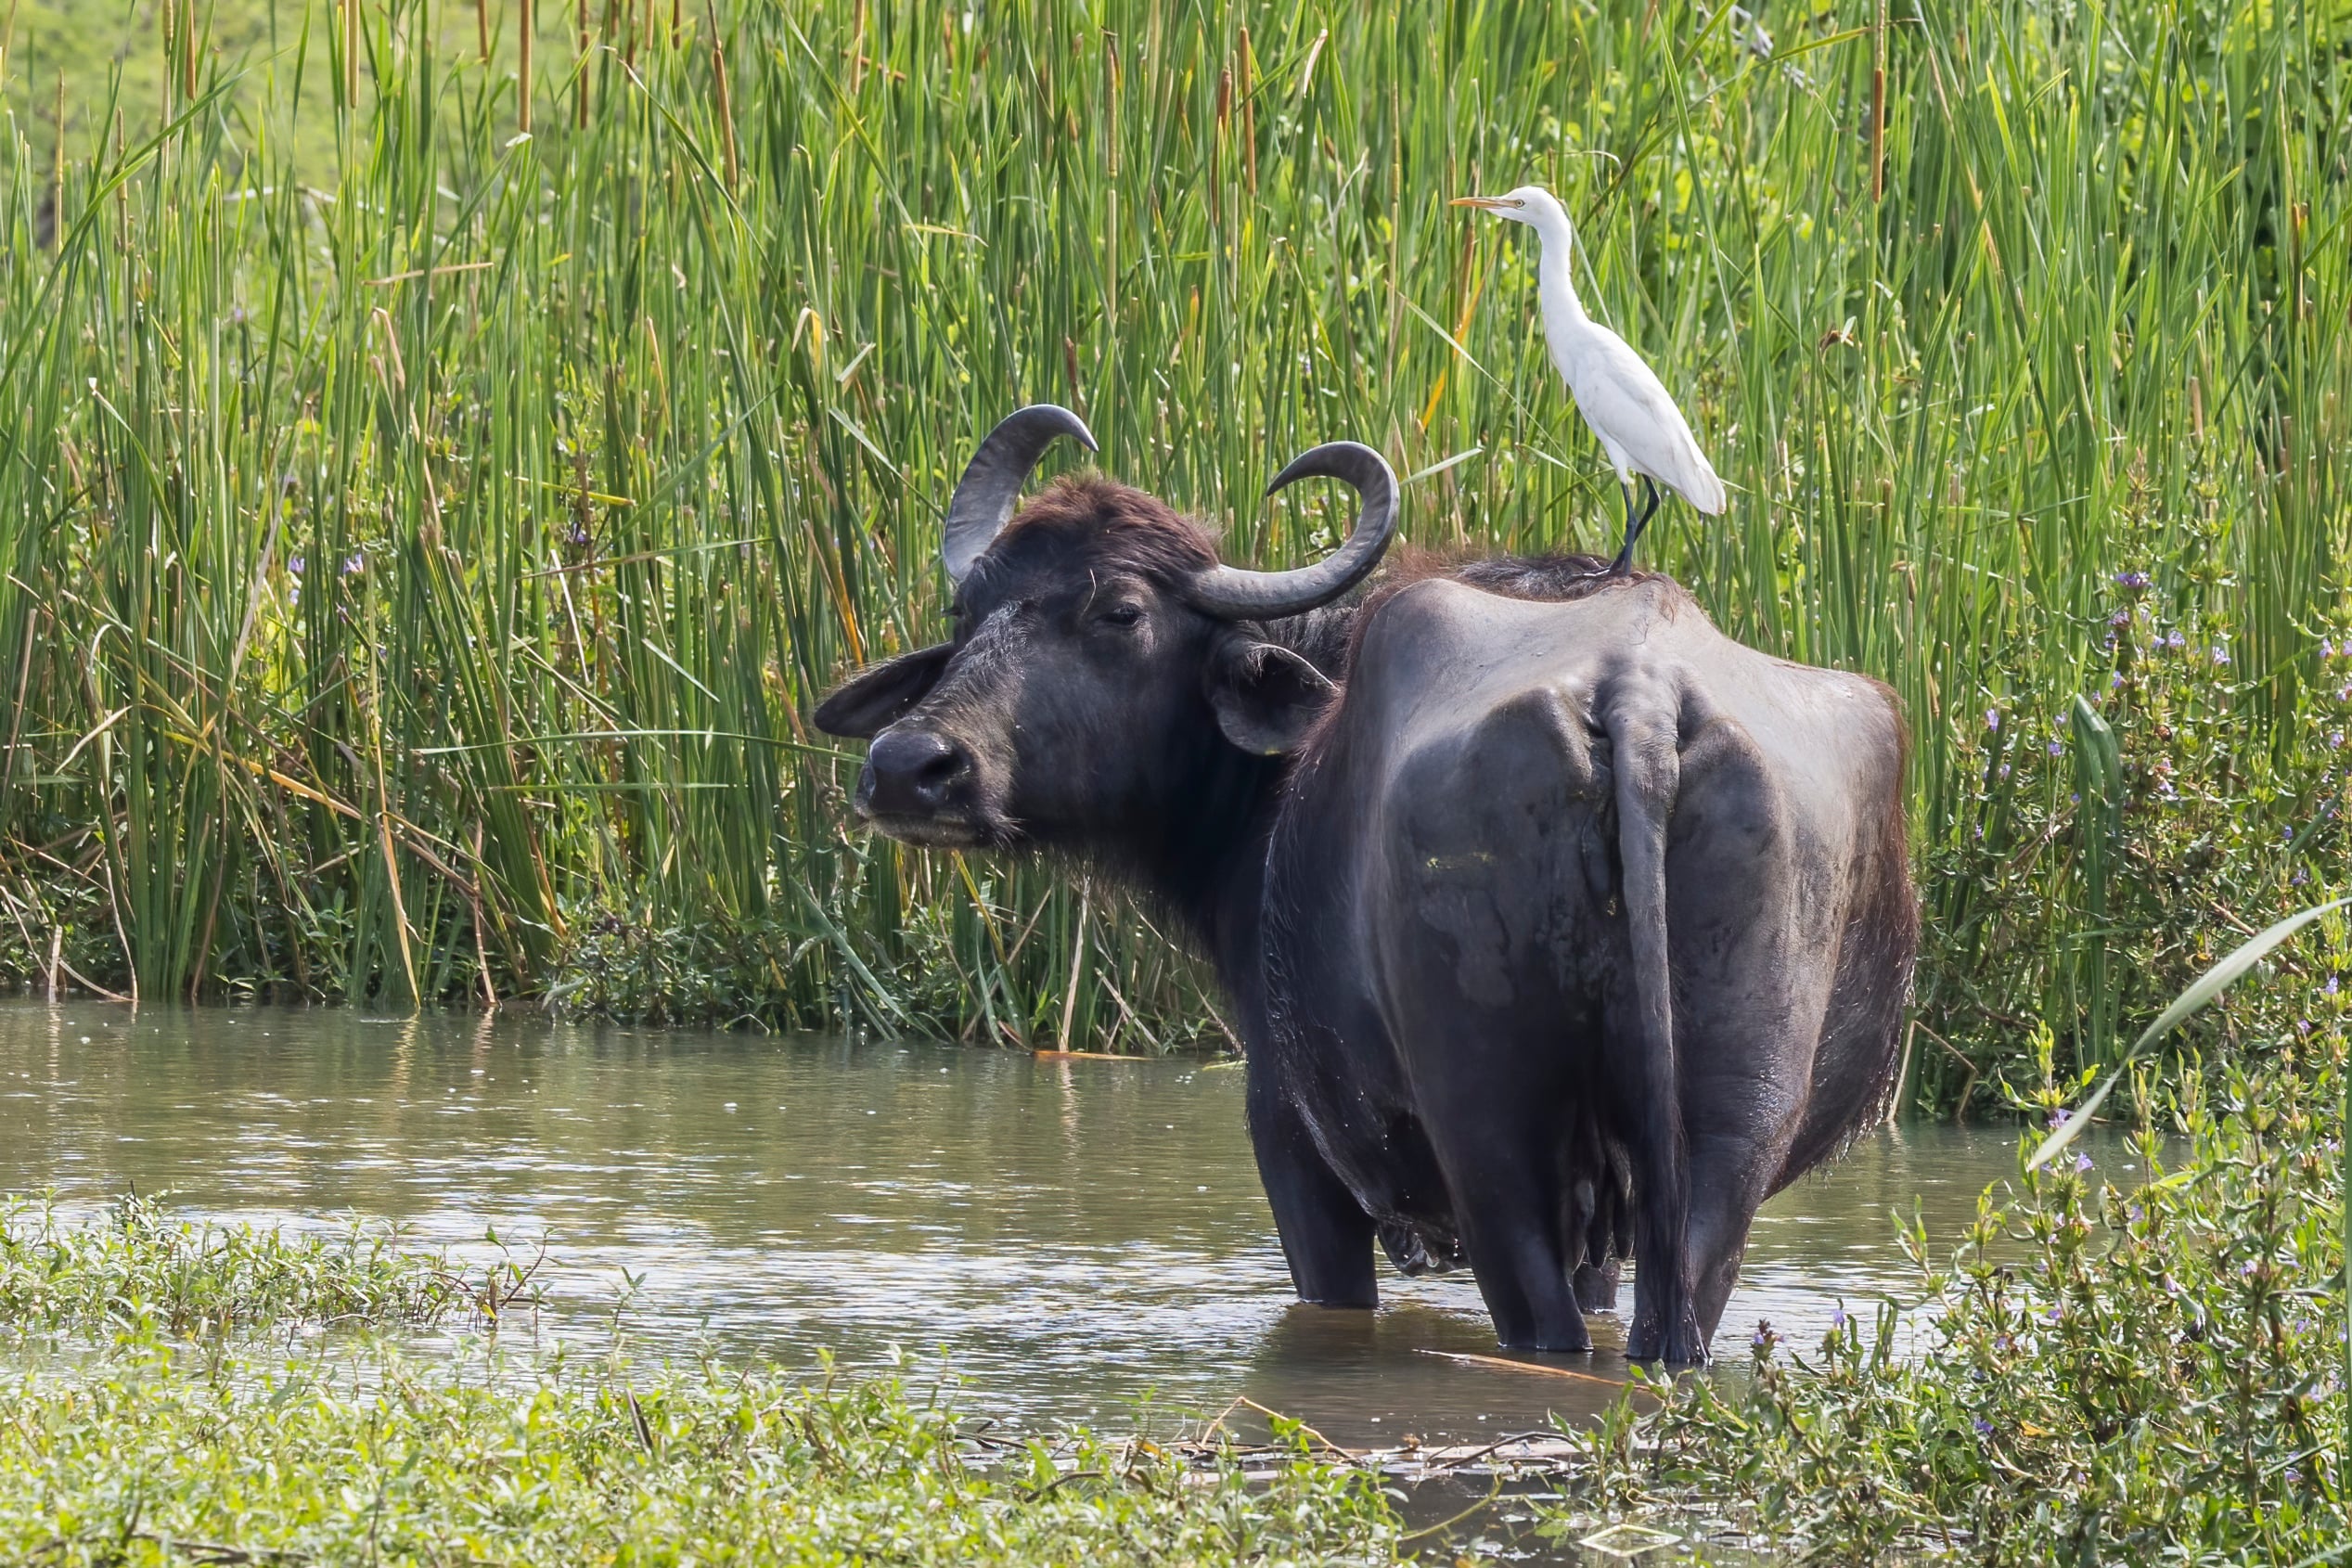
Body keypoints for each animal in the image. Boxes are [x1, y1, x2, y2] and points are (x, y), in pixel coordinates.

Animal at [815, 406, 1916, 1362]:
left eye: (1119, 612)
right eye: (967, 610)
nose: (911, 765)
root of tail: (1638, 697)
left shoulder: (1288, 1136)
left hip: (1490, 1134)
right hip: (1728, 1133)